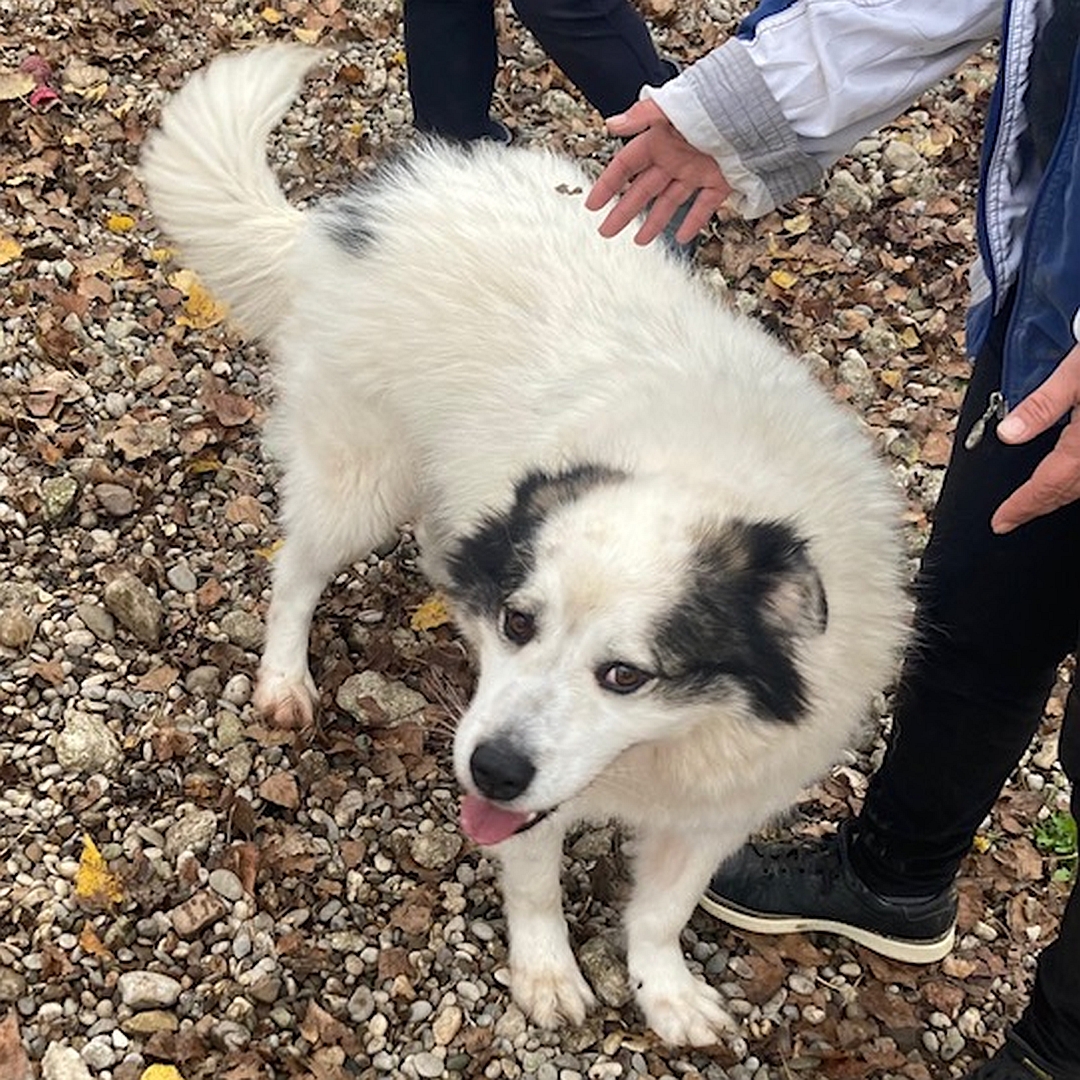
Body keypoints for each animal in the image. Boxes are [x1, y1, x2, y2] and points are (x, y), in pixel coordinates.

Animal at [139, 48, 907, 1045]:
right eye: (520, 624)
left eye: (627, 675)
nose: (488, 768)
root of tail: (347, 219)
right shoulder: (530, 794)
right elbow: (538, 887)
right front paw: (546, 976)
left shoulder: (718, 805)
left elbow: (662, 912)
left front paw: (667, 993)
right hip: (361, 473)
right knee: (296, 572)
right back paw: (284, 681)